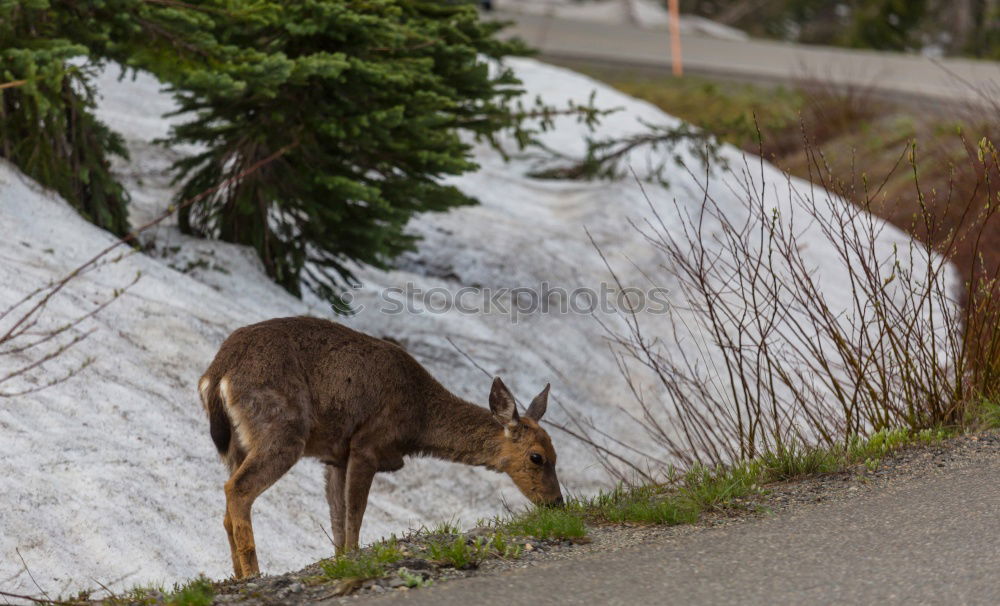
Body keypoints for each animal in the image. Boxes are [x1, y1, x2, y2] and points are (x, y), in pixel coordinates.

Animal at [195, 316, 564, 580]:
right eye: (537, 457)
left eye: (556, 454)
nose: (557, 503)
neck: (418, 418)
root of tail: (217, 373)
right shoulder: (367, 444)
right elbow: (355, 512)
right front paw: (354, 559)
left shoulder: (335, 456)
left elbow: (338, 515)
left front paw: (341, 560)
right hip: (283, 431)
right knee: (238, 489)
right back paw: (253, 574)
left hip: (237, 445)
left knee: (227, 505)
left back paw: (237, 575)